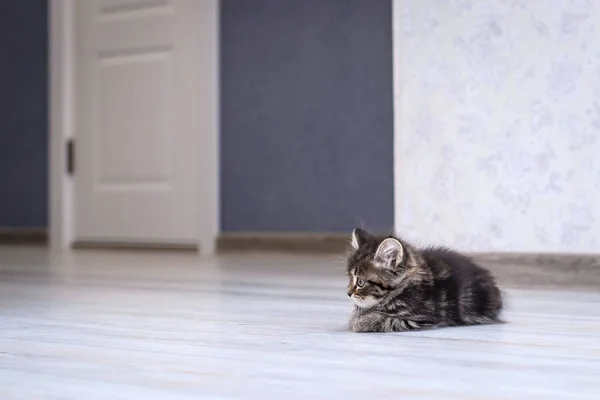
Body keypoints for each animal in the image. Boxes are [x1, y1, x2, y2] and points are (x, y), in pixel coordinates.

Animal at [344, 227, 504, 332]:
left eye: (360, 282)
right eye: (350, 278)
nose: (348, 293)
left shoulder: (420, 318)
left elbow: (381, 320)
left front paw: (360, 321)